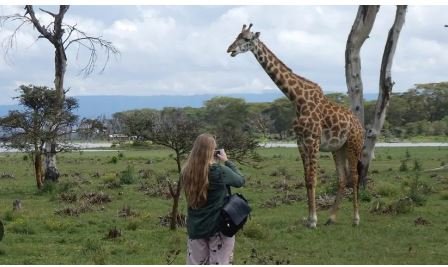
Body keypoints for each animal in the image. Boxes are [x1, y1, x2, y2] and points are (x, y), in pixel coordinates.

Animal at [228, 24, 364, 228]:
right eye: (237, 36)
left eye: (247, 39)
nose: (230, 49)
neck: (297, 99)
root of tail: (361, 126)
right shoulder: (300, 142)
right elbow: (307, 179)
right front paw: (310, 219)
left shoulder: (313, 140)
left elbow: (313, 179)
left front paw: (313, 220)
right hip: (338, 148)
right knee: (342, 178)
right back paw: (331, 218)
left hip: (353, 145)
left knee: (354, 176)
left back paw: (356, 218)